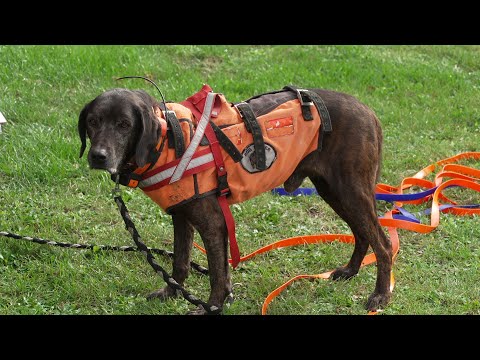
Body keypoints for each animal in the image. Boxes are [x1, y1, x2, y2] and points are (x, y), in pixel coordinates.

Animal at [79, 86, 392, 314]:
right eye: (93, 122)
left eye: (124, 124)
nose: (98, 156)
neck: (170, 140)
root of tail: (369, 111)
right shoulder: (181, 216)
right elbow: (180, 263)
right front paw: (171, 293)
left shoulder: (213, 223)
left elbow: (217, 274)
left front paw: (212, 307)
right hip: (335, 192)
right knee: (362, 234)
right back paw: (350, 271)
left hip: (349, 191)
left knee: (383, 243)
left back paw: (379, 296)